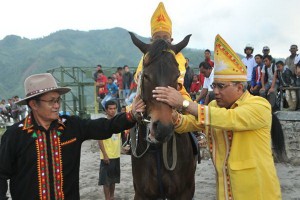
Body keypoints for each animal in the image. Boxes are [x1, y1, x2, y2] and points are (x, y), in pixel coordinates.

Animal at [128, 31, 197, 200]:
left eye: (177, 76)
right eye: (146, 76)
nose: (162, 128)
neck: (158, 151)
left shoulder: (185, 192)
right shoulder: (141, 194)